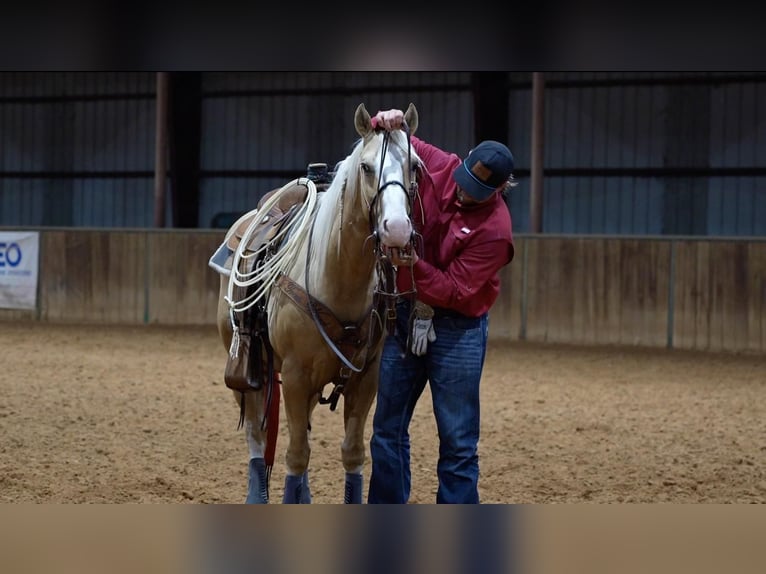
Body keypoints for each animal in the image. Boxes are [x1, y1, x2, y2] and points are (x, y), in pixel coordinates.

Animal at [213, 103, 424, 504]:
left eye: (415, 166)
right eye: (366, 167)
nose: (397, 229)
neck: (337, 277)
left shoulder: (365, 379)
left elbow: (351, 453)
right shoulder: (295, 376)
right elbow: (296, 455)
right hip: (247, 370)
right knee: (256, 434)